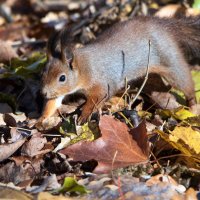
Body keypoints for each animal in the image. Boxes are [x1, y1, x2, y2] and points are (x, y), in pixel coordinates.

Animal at [39, 16, 198, 123]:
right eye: (43, 73)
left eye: (62, 78)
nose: (43, 93)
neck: (85, 68)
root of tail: (164, 27)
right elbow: (53, 103)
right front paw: (41, 119)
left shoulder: (101, 83)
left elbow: (97, 99)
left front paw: (84, 115)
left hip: (169, 59)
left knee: (185, 81)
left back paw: (193, 107)